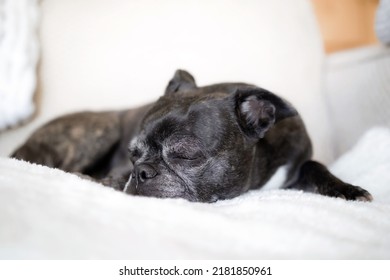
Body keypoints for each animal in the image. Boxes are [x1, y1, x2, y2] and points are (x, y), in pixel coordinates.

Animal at [10, 69, 374, 201]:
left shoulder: (300, 160)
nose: (139, 173)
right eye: (132, 155)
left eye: (185, 155)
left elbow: (317, 167)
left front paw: (347, 189)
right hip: (102, 129)